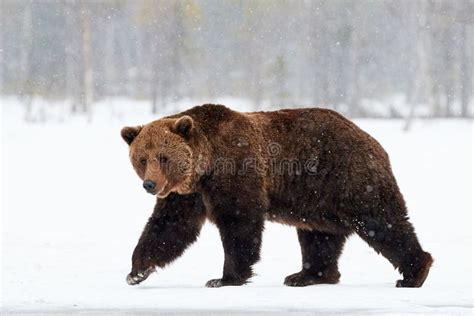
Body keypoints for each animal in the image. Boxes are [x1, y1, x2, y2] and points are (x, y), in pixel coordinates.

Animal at [120, 105, 432, 288]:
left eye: (163, 157)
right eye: (142, 158)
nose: (150, 184)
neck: (204, 166)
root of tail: (372, 139)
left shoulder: (236, 168)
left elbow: (239, 222)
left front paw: (224, 278)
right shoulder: (187, 195)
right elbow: (169, 227)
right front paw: (136, 270)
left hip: (347, 176)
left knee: (380, 221)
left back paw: (414, 273)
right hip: (317, 197)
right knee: (319, 236)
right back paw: (306, 276)